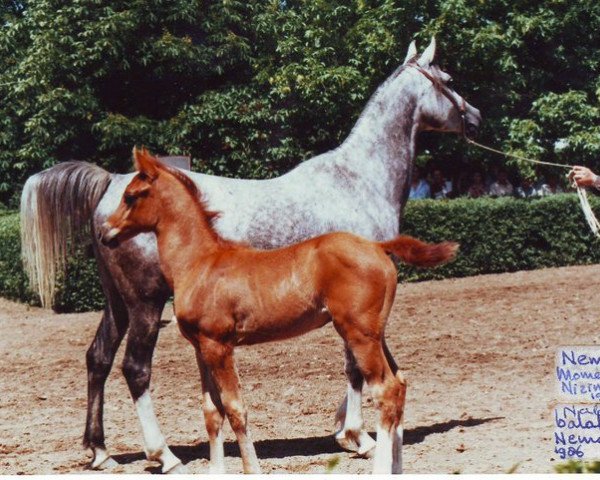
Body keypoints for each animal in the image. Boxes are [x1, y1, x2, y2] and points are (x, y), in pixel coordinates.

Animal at [101, 149, 458, 472]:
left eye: (130, 196)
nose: (106, 232)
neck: (199, 262)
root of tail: (377, 246)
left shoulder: (219, 346)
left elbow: (235, 409)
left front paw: (251, 469)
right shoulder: (201, 348)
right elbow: (212, 413)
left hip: (359, 334)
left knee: (386, 390)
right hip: (375, 333)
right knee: (400, 384)